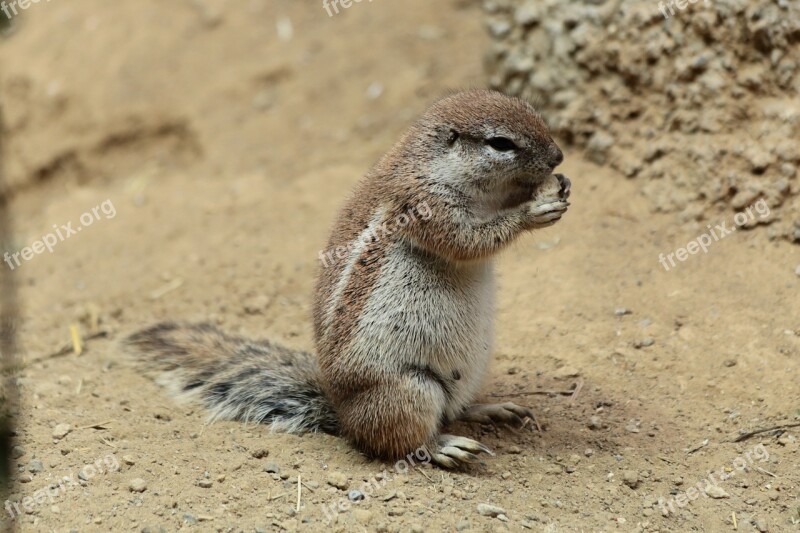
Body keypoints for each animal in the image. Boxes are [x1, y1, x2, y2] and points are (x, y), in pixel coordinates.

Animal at [123, 89, 568, 468]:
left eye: (530, 109)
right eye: (500, 143)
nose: (559, 157)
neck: (434, 163)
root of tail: (342, 411)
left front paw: (557, 189)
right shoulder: (426, 205)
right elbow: (469, 241)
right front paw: (534, 209)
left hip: (470, 373)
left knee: (454, 409)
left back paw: (492, 409)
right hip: (409, 390)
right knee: (402, 440)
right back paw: (445, 446)